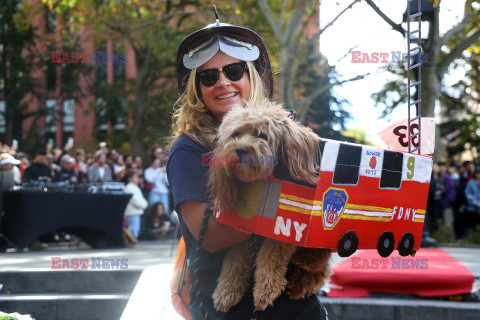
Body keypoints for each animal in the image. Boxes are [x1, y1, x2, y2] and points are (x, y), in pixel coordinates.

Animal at [208, 100, 332, 312]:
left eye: (261, 135)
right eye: (236, 135)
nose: (240, 149)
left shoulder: (282, 230)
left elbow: (270, 257)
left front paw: (264, 291)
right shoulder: (239, 229)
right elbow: (234, 260)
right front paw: (226, 290)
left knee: (321, 264)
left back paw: (306, 270)